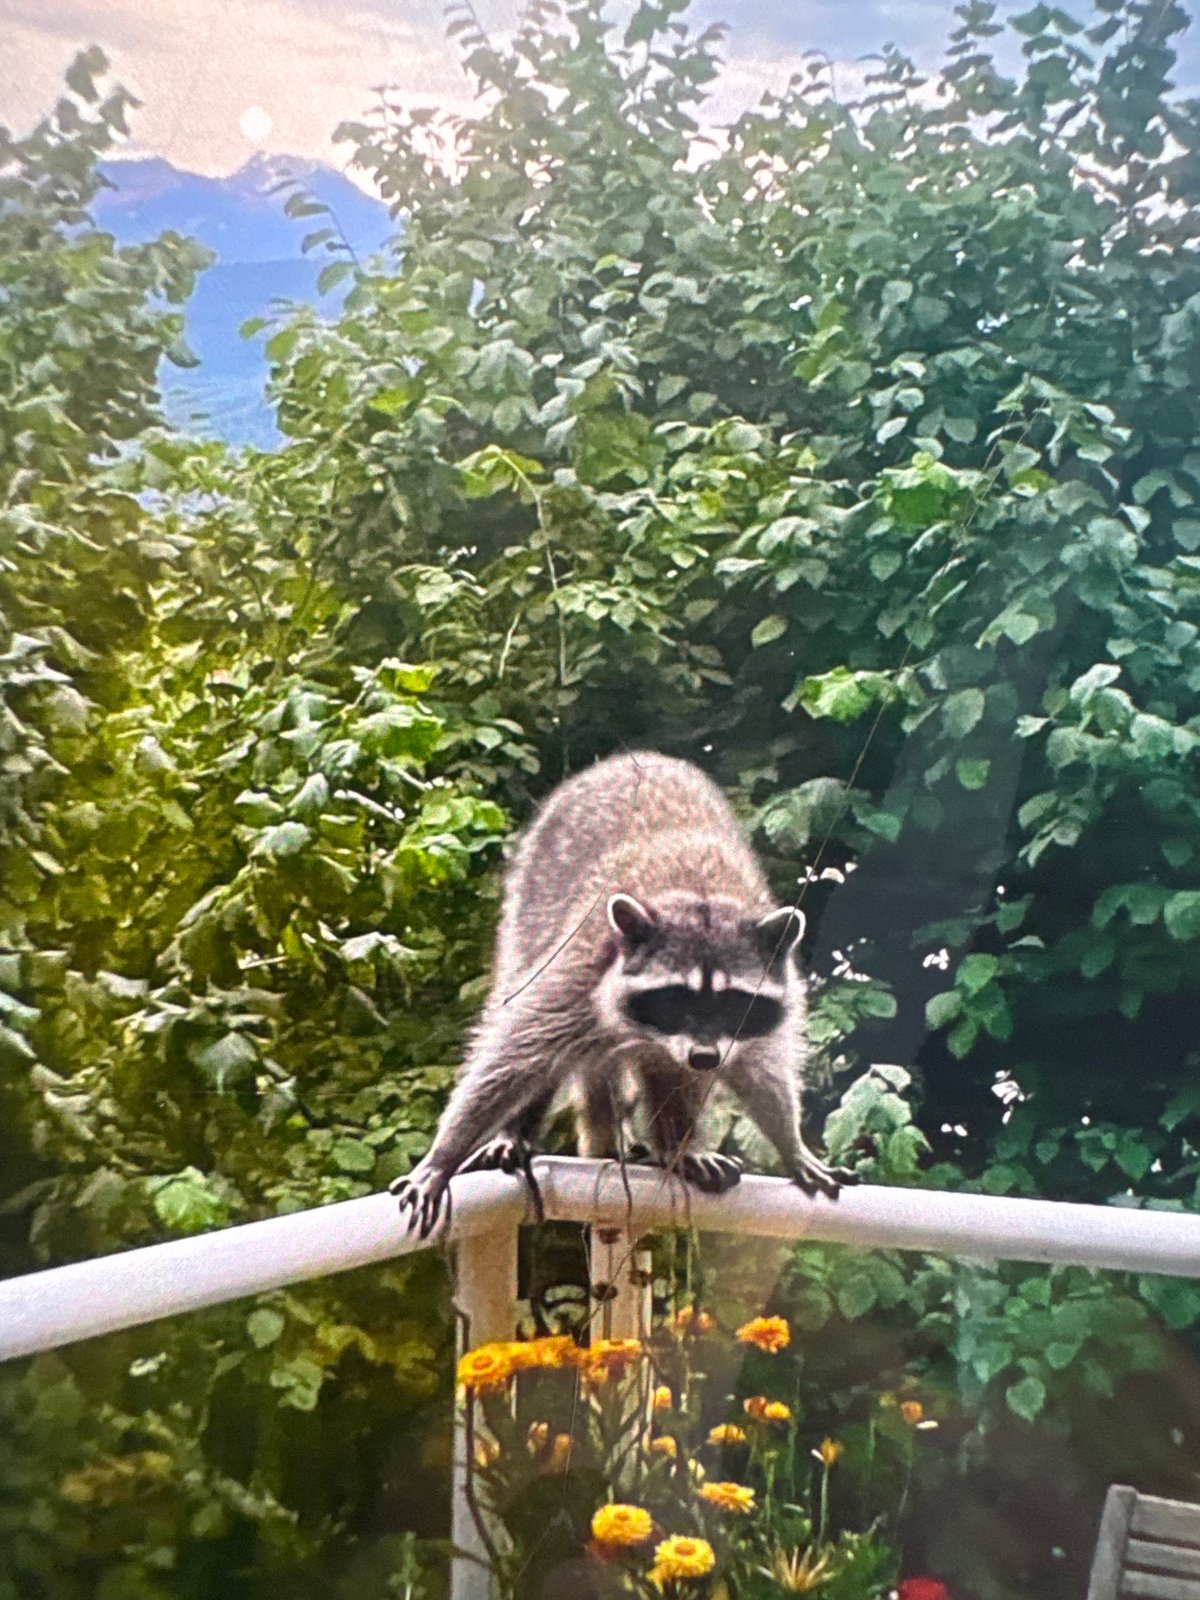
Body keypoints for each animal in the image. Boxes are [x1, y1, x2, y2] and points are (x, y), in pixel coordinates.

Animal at [392, 751, 855, 1236]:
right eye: (677, 998)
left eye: (731, 1002)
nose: (704, 1055)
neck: (700, 895)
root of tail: (636, 759)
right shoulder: (583, 970)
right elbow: (514, 1055)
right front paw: (444, 1153)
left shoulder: (760, 1001)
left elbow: (761, 1069)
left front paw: (789, 1140)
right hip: (530, 906)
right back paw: (519, 1130)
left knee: (671, 1076)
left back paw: (677, 1143)